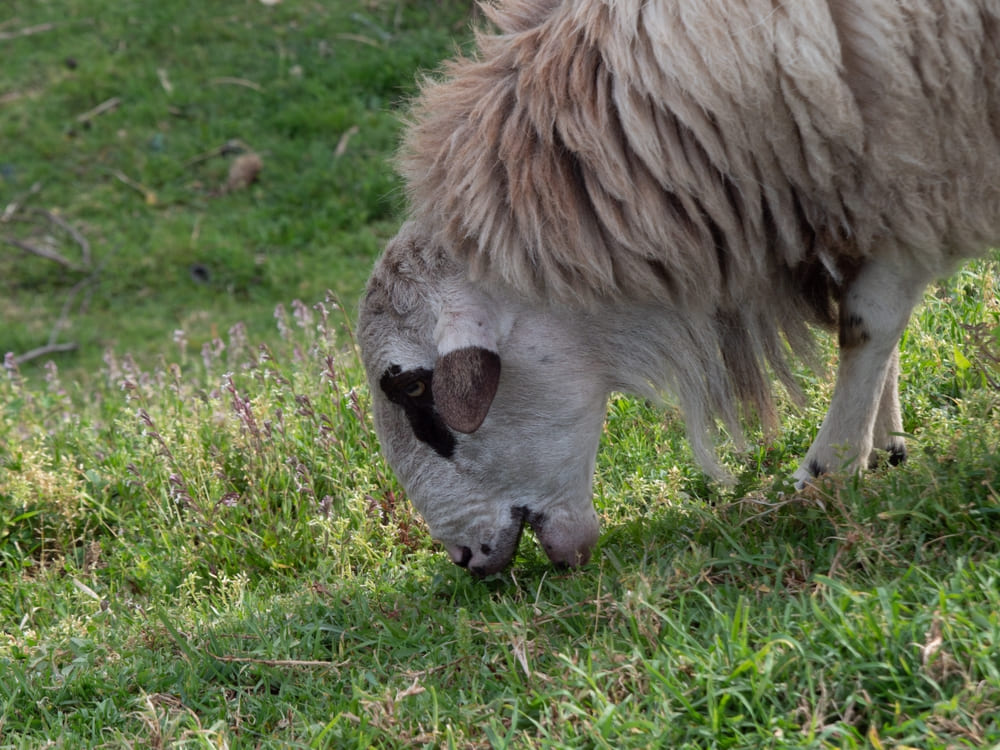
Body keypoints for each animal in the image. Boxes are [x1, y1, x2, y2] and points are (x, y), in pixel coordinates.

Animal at [358, 0, 1000, 580]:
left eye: (413, 387)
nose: (466, 560)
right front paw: (884, 444)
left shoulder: (914, 174)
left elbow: (867, 322)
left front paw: (828, 471)